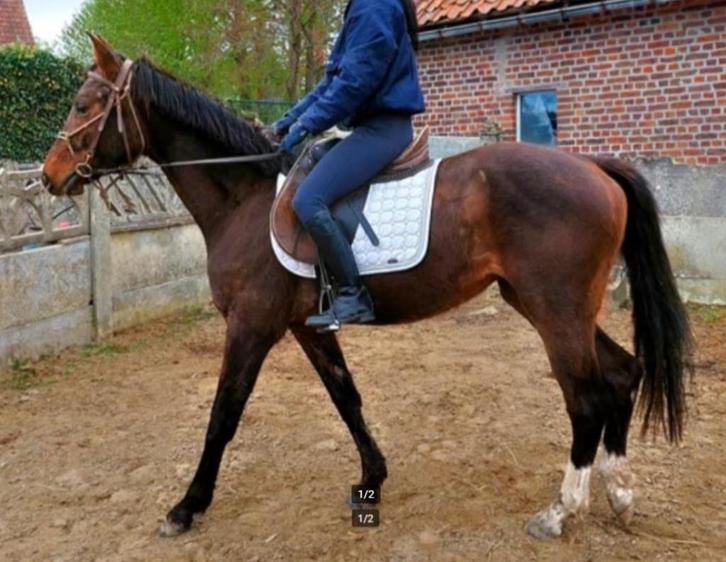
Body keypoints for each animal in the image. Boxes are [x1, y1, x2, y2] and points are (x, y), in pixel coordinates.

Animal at [42, 35, 692, 540]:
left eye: (83, 104)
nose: (49, 177)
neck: (244, 198)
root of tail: (594, 167)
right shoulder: (306, 327)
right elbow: (346, 397)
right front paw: (372, 477)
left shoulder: (251, 326)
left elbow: (224, 413)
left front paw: (186, 506)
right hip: (559, 308)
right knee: (622, 375)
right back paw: (620, 494)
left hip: (554, 310)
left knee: (586, 398)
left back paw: (560, 512)